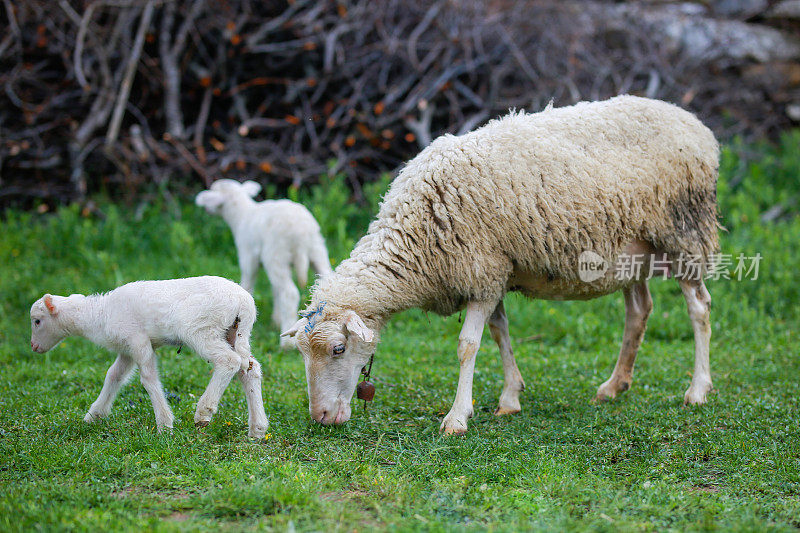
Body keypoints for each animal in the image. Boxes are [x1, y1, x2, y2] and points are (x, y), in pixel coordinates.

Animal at [28, 274, 268, 436]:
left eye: (37, 321)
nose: (33, 347)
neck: (99, 315)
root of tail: (244, 302)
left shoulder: (138, 340)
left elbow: (149, 378)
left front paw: (164, 424)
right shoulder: (127, 348)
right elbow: (114, 376)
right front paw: (94, 415)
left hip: (201, 328)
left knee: (229, 361)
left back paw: (203, 413)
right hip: (235, 333)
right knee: (249, 368)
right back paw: (257, 428)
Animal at [198, 179, 332, 350]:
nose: (207, 209)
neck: (241, 214)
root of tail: (301, 233)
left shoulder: (248, 256)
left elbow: (248, 283)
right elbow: (275, 290)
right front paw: (276, 319)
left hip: (276, 253)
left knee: (289, 293)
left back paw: (287, 344)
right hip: (317, 249)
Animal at [282, 95, 720, 434]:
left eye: (338, 349)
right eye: (301, 352)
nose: (321, 418)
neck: (417, 231)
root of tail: (693, 121)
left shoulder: (480, 271)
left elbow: (468, 345)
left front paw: (457, 417)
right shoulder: (492, 272)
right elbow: (499, 333)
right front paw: (510, 397)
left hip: (684, 231)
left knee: (699, 307)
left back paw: (698, 390)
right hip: (629, 251)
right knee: (639, 310)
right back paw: (615, 385)